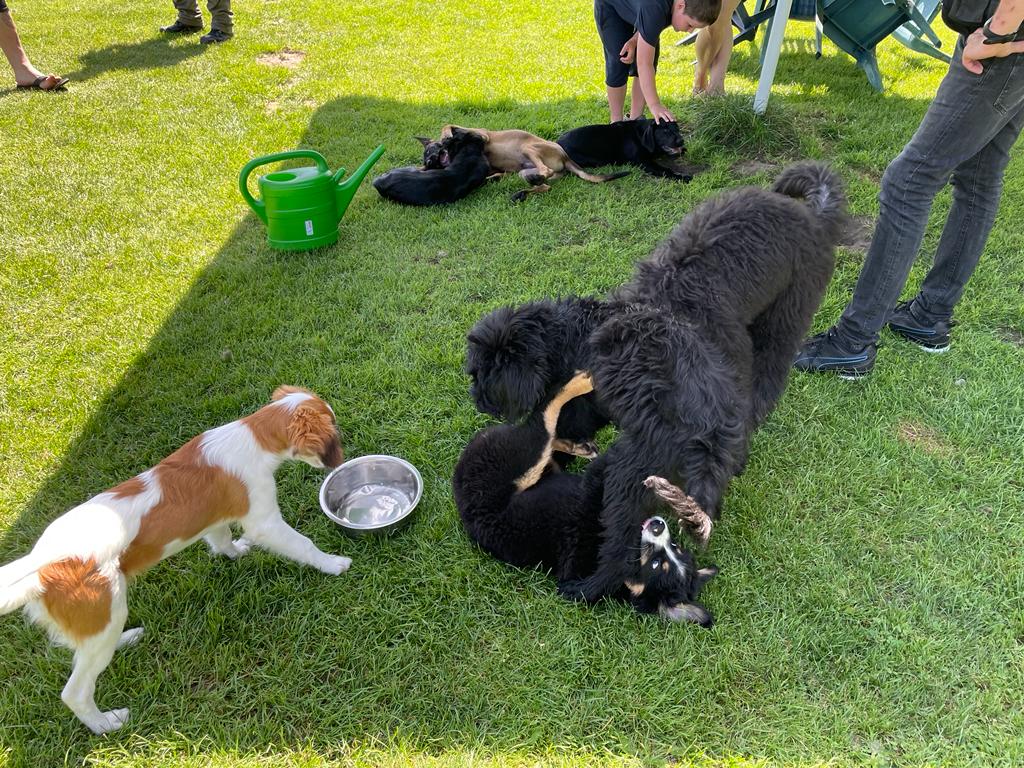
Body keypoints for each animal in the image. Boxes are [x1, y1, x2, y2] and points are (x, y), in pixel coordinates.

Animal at [0, 387, 348, 737]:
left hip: (102, 619)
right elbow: (301, 544)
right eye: (333, 427)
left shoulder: (214, 516)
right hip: (102, 605)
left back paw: (125, 639)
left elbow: (222, 539)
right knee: (75, 691)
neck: (253, 434)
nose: (340, 456)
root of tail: (42, 569)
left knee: (85, 648)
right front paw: (332, 563)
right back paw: (104, 723)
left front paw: (236, 551)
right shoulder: (263, 519)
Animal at [419, 124, 626, 201]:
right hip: (523, 171)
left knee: (546, 170)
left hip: (529, 148)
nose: (429, 163)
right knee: (545, 184)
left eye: (432, 151)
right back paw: (524, 192)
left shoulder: (482, 135)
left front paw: (448, 133)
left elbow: (450, 126)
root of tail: (566, 158)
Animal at [452, 370, 716, 626]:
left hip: (513, 459)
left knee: (541, 421)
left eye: (655, 564)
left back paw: (581, 384)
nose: (659, 525)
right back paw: (578, 435)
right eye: (675, 547)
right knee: (547, 431)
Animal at [561, 119, 696, 181]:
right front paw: (682, 178)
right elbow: (665, 170)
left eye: (677, 128)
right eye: (666, 130)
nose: (681, 141)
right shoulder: (644, 162)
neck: (641, 136)